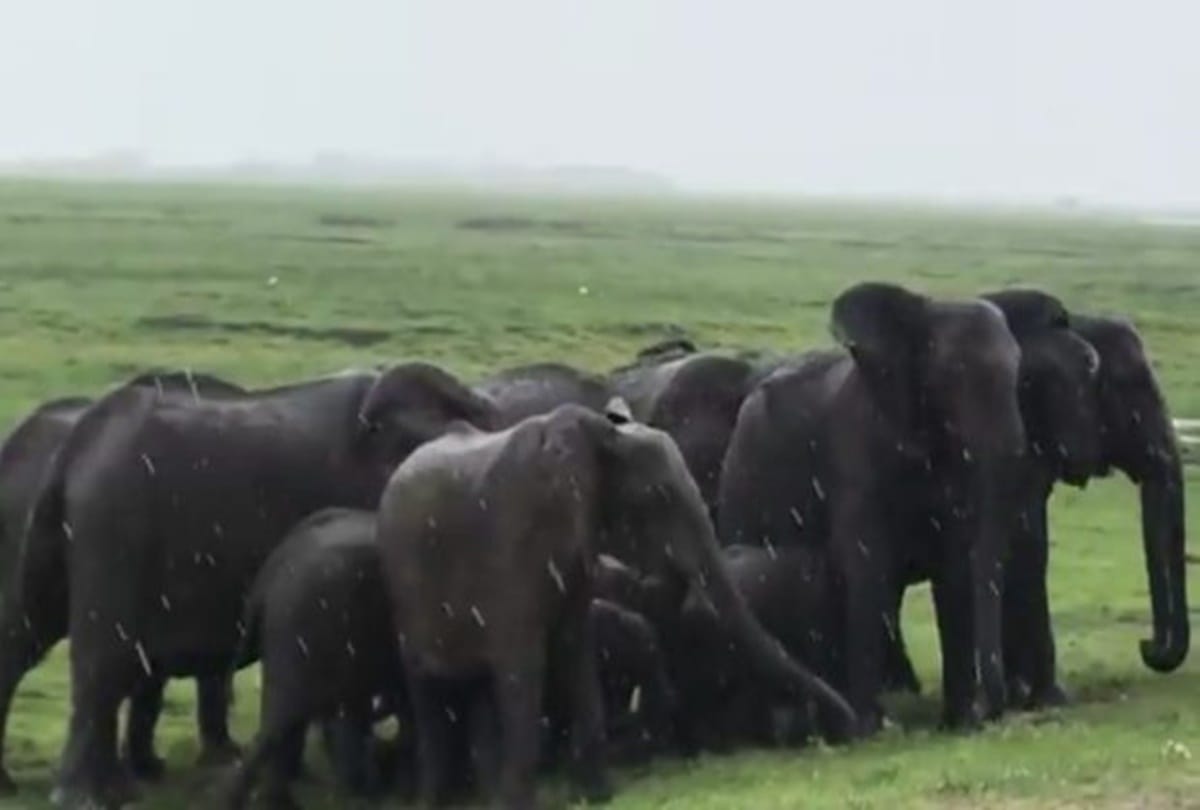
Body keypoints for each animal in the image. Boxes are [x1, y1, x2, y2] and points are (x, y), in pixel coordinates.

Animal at [377, 403, 856, 809]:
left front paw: (597, 796)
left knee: (474, 688)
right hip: (404, 589)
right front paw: (521, 805)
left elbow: (576, 648)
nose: (843, 736)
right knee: (427, 691)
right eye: (659, 495)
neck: (600, 436)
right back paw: (435, 800)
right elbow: (523, 662)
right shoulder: (508, 543)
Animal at [718, 282, 1028, 734]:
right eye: (953, 374)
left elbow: (955, 571)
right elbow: (869, 568)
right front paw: (868, 728)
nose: (991, 711)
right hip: (746, 474)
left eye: (1019, 373)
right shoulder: (856, 458)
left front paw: (958, 725)